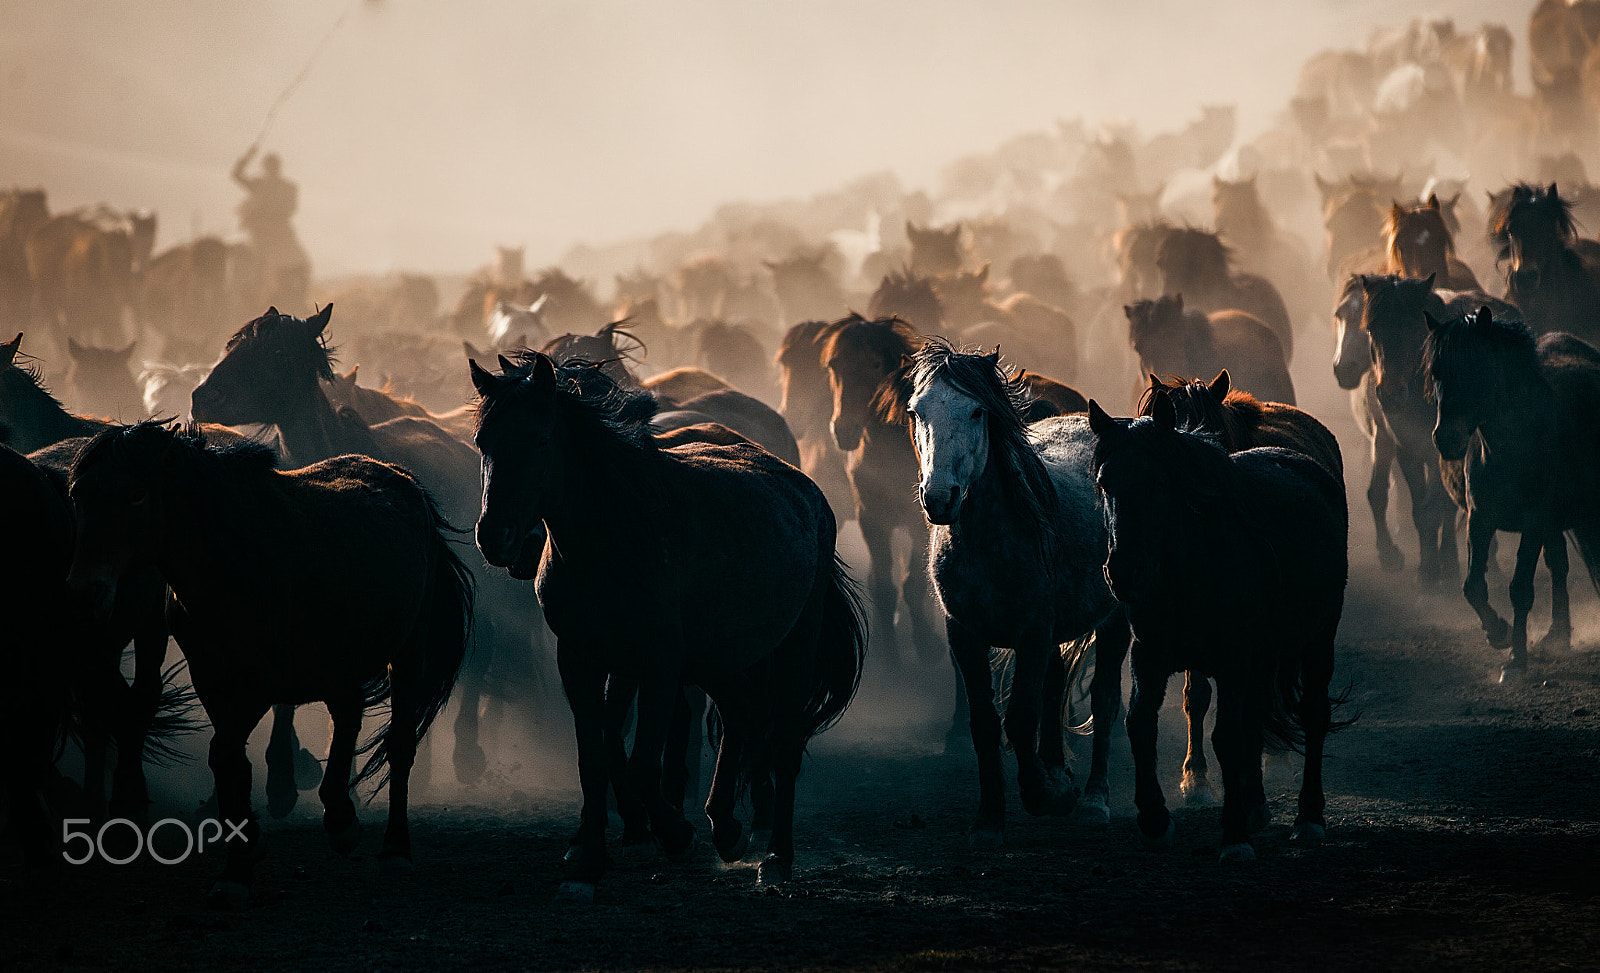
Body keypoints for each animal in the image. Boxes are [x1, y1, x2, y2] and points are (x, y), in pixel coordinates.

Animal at [64, 422, 472, 907]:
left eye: (135, 495)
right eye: (78, 496)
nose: (85, 591)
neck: (235, 562)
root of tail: (404, 480)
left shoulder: (258, 685)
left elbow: (224, 752)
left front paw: (238, 866)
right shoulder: (211, 678)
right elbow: (231, 761)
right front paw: (243, 855)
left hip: (408, 653)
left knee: (399, 746)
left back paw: (394, 850)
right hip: (336, 664)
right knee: (348, 715)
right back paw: (340, 821)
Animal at [470, 352, 866, 895]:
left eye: (542, 439)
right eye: (483, 442)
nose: (496, 537)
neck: (612, 535)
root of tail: (807, 492)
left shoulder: (658, 664)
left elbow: (641, 765)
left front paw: (675, 833)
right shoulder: (580, 658)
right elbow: (595, 756)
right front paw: (588, 852)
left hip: (790, 651)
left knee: (783, 742)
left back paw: (774, 857)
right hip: (719, 659)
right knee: (742, 717)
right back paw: (727, 828)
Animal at [906, 341, 1125, 843]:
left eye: (976, 412)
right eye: (915, 411)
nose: (939, 497)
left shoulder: (1033, 632)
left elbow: (1021, 719)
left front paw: (1043, 795)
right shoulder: (965, 634)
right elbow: (986, 724)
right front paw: (990, 818)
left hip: (1114, 622)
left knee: (1103, 699)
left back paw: (1093, 799)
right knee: (1056, 682)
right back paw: (1058, 771)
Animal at [1087, 397, 1348, 861]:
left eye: (1158, 481)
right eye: (1104, 482)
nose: (1123, 573)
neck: (1191, 568)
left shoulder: (1232, 660)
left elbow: (1227, 737)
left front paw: (1234, 837)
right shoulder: (1149, 656)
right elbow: (1140, 722)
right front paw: (1155, 819)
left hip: (1317, 643)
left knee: (1314, 715)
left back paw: (1308, 818)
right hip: (1261, 660)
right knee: (1255, 716)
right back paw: (1257, 806)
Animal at [1424, 307, 1600, 682]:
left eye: (1477, 369)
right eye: (1436, 372)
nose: (1446, 438)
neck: (1512, 447)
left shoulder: (1534, 523)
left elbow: (1520, 589)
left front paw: (1516, 659)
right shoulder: (1480, 519)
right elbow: (1473, 586)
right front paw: (1499, 633)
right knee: (1559, 566)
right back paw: (1556, 635)